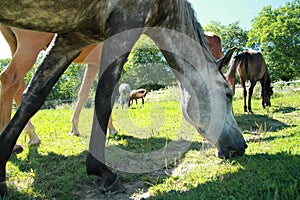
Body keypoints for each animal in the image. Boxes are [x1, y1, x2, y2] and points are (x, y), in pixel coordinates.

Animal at [0, 0, 246, 194]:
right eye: (228, 94)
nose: (241, 145)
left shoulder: (72, 38)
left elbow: (34, 96)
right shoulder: (124, 26)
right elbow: (102, 98)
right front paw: (101, 171)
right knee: (10, 81)